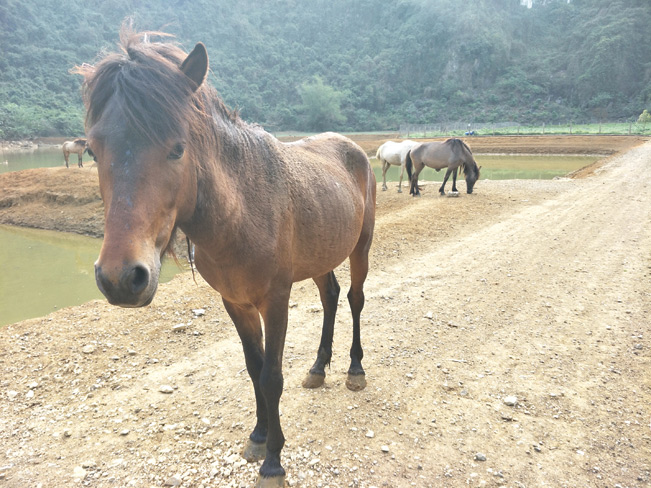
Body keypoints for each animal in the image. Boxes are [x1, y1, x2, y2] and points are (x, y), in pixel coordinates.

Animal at [75, 26, 376, 488]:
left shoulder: (275, 299)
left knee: (355, 299)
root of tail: (353, 149)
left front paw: (273, 461)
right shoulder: (235, 302)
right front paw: (258, 436)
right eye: (92, 151)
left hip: (360, 247)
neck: (242, 212)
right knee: (330, 297)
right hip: (321, 256)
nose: (121, 278)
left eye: (178, 148)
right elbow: (253, 368)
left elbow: (271, 376)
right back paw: (319, 367)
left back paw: (354, 370)